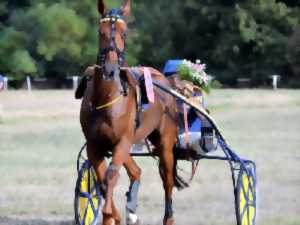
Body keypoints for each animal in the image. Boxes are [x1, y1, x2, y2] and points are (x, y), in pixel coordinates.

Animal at [78, 0, 183, 224]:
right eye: (100, 31)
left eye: (124, 33)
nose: (109, 69)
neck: (106, 100)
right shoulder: (95, 145)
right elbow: (102, 181)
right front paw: (113, 216)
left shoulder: (122, 141)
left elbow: (109, 177)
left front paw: (108, 214)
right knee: (135, 171)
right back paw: (131, 210)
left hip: (164, 143)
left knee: (167, 179)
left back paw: (168, 217)